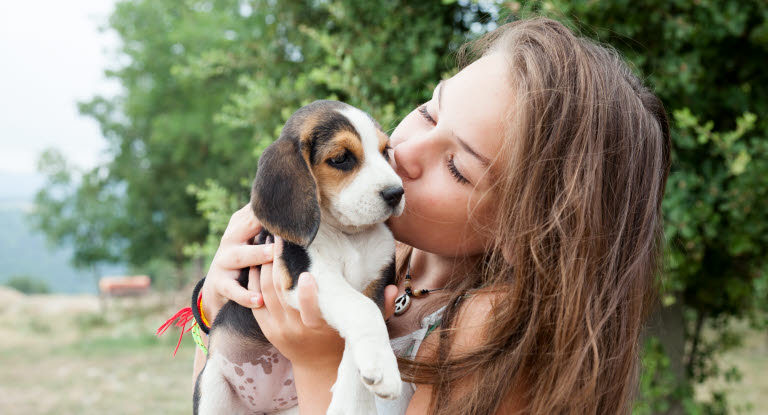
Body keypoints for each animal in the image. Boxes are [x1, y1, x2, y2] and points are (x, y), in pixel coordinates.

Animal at [195, 101, 404, 415]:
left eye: (385, 151)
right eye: (341, 158)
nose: (396, 193)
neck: (349, 236)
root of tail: (265, 405)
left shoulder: (377, 286)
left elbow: (366, 319)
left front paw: (352, 403)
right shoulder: (308, 274)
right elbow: (362, 310)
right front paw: (384, 370)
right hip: (212, 387)